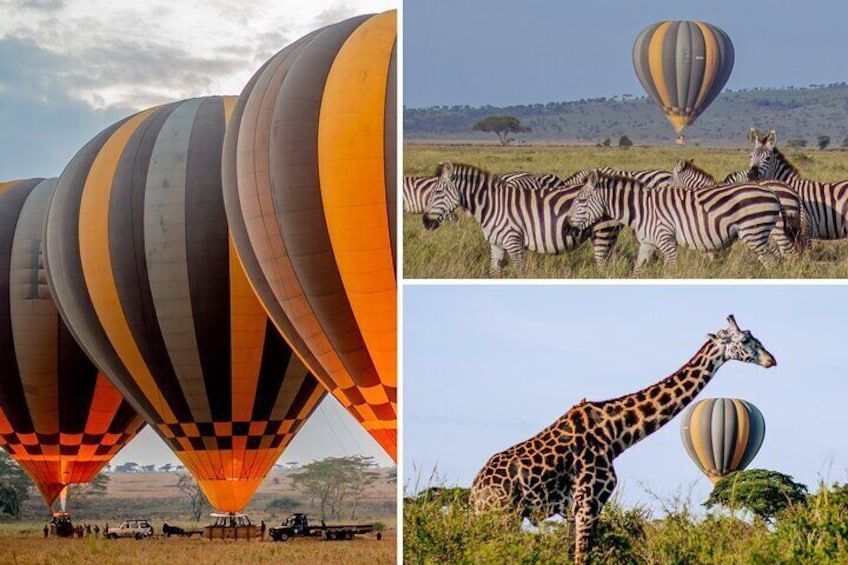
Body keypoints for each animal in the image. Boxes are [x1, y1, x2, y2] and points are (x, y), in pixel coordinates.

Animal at [420, 161, 620, 276]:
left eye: (437, 192)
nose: (425, 222)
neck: (492, 205)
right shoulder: (496, 244)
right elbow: (494, 273)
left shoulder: (513, 241)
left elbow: (520, 272)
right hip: (610, 235)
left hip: (602, 231)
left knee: (602, 267)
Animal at [470, 316, 776, 560]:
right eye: (745, 339)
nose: (771, 359)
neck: (615, 434)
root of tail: (474, 493)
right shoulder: (589, 501)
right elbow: (583, 556)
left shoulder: (574, 508)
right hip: (501, 515)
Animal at [564, 170, 788, 274]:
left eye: (581, 201)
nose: (566, 226)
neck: (642, 210)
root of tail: (772, 193)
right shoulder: (648, 243)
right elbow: (637, 270)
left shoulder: (666, 239)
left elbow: (670, 269)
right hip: (759, 234)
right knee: (776, 257)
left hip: (753, 232)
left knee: (771, 261)